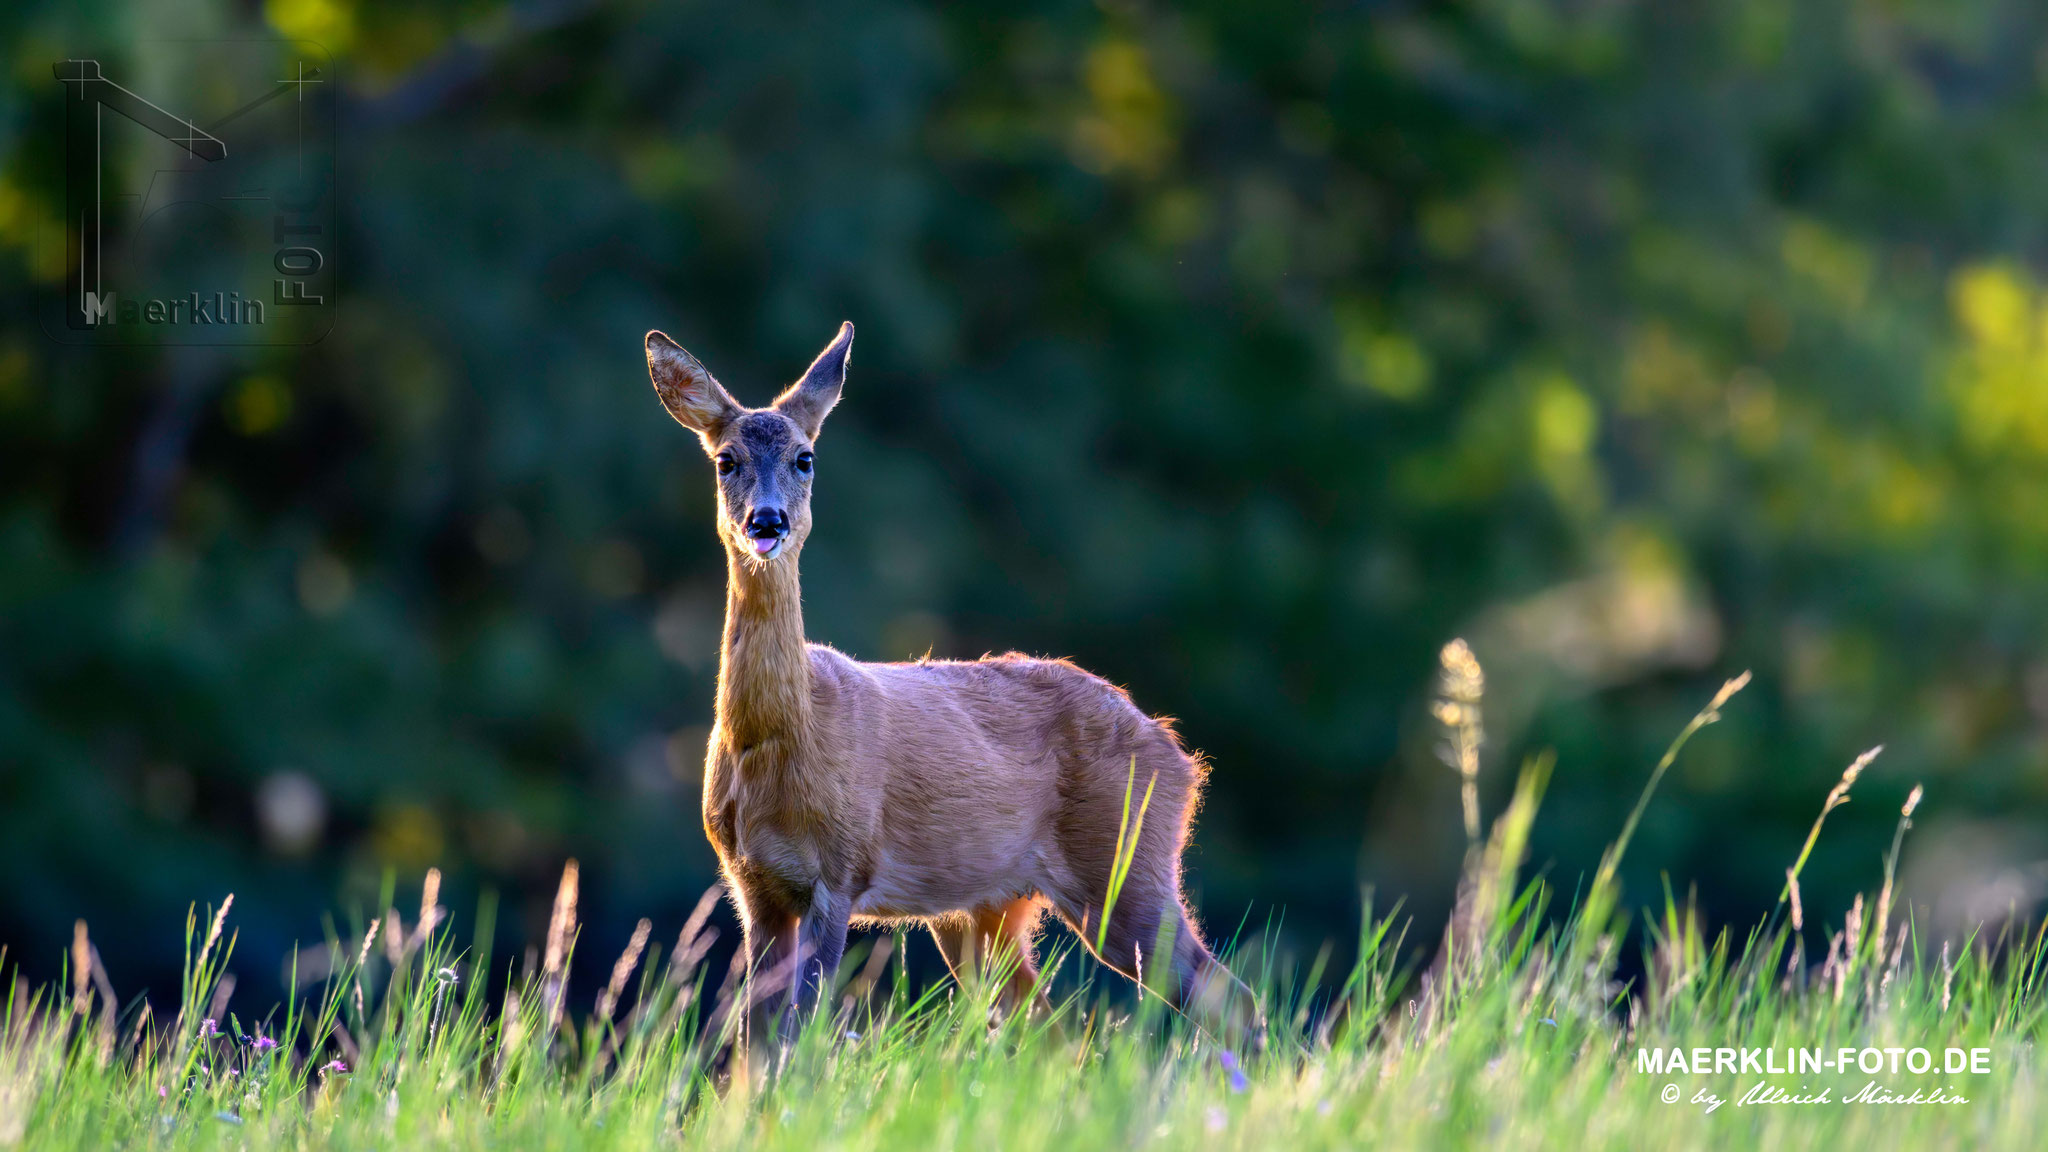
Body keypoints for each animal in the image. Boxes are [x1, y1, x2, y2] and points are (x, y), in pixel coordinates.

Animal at [643, 317, 1245, 1045]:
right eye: (725, 460)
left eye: (805, 458)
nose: (767, 521)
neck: (783, 738)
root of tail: (1180, 755)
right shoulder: (752, 885)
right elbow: (754, 1046)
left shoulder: (839, 871)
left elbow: (801, 1038)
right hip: (988, 907)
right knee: (1051, 1031)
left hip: (1127, 859)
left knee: (1227, 997)